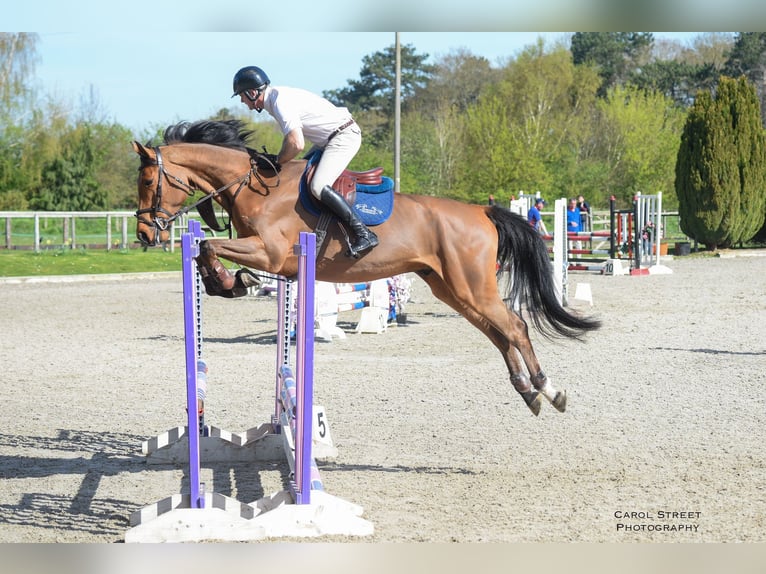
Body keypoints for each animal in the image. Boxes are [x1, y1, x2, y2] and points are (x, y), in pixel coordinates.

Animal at [133, 119, 600, 416]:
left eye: (147, 181)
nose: (143, 234)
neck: (255, 187)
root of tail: (482, 212)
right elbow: (207, 246)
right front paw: (227, 282)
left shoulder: (269, 253)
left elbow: (210, 244)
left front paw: (228, 281)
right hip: (452, 289)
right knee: (499, 334)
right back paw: (528, 393)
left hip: (471, 287)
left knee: (515, 327)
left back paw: (549, 391)